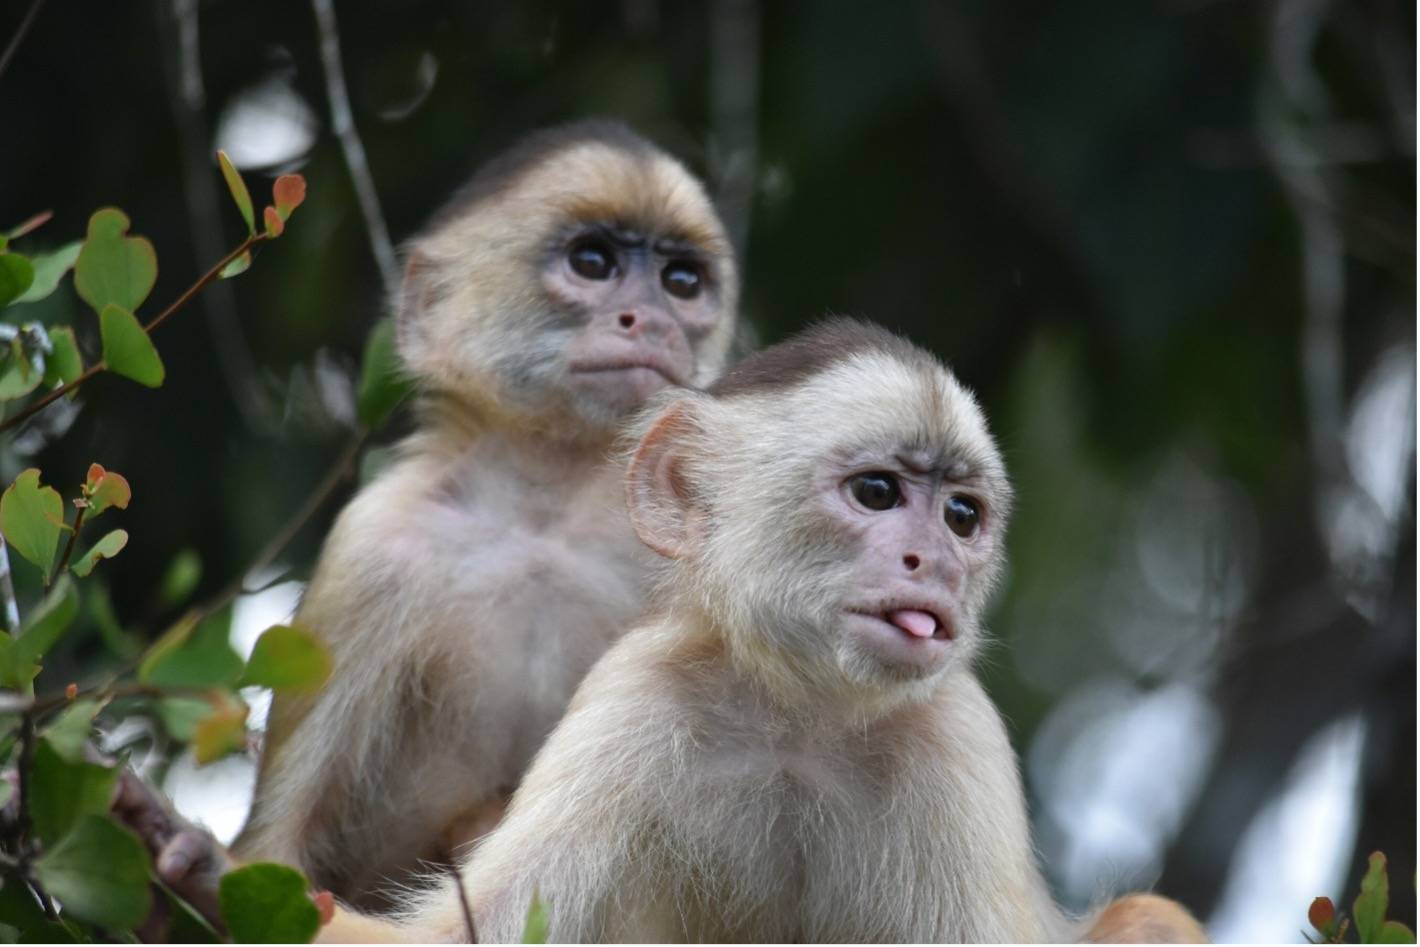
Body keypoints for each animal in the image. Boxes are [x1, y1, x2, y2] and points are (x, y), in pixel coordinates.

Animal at [227, 120, 738, 908]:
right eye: (593, 262)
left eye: (682, 282)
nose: (651, 318)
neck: (542, 518)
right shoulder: (369, 545)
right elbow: (276, 847)